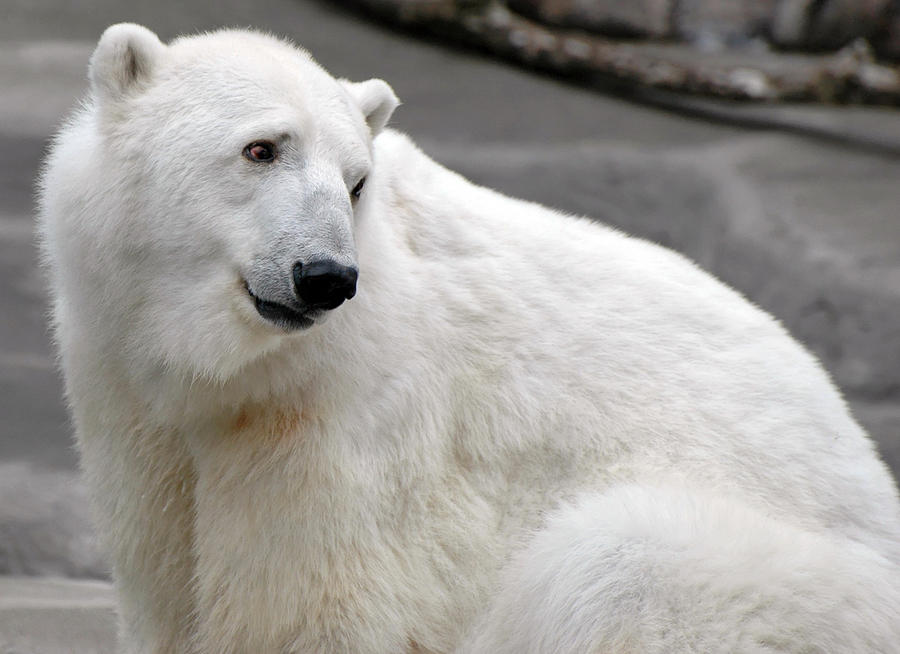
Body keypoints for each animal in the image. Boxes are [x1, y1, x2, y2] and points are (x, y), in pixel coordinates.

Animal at [38, 23, 900, 654]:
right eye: (261, 147)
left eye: (355, 181)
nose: (325, 276)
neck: (231, 366)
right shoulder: (120, 367)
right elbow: (159, 564)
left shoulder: (341, 413)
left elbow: (313, 605)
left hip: (798, 593)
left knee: (611, 566)